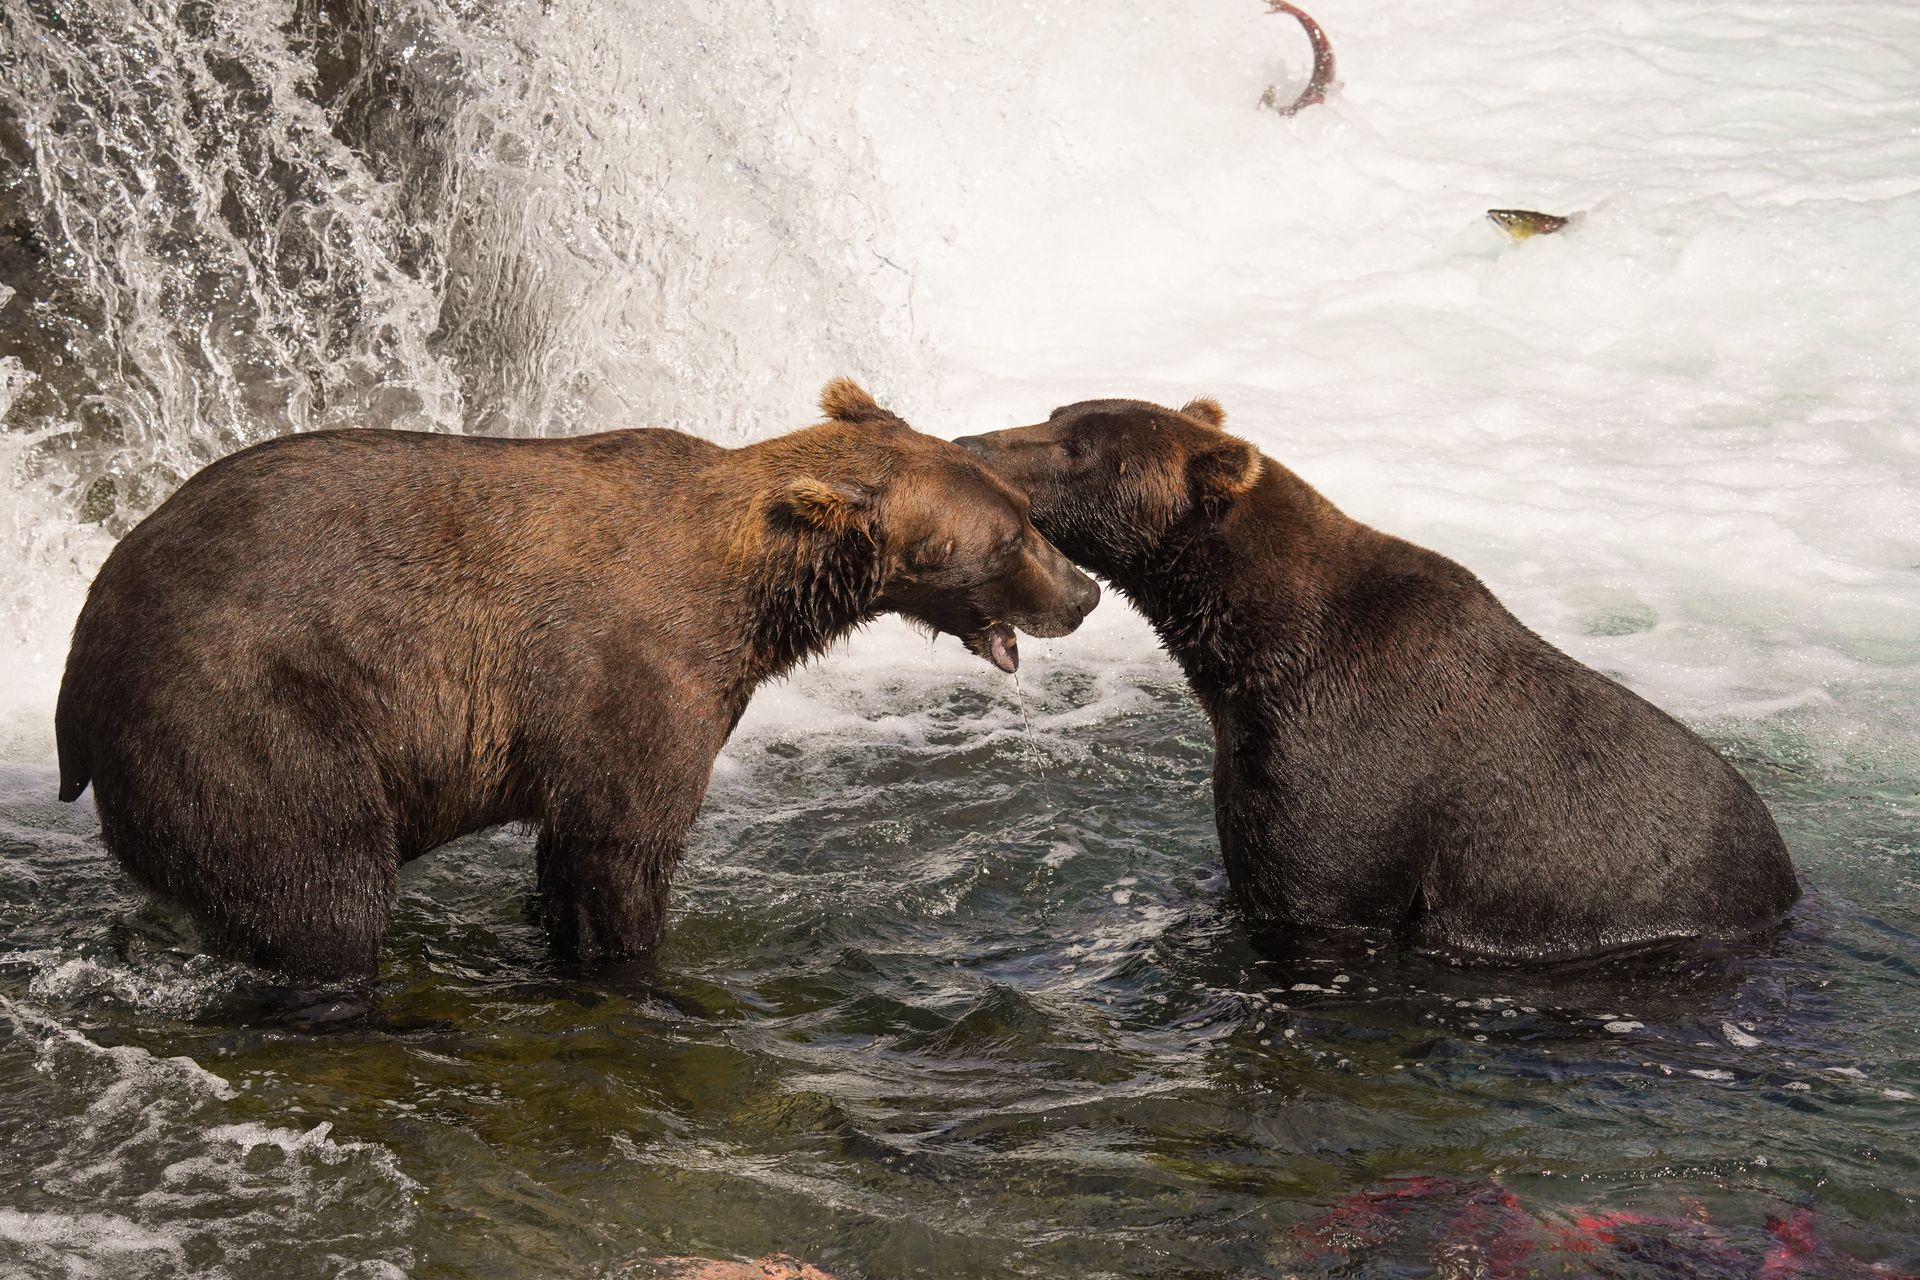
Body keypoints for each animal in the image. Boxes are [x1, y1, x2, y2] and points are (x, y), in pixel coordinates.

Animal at [56, 379, 1100, 981]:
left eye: (1023, 511)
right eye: (1011, 535)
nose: (1084, 592)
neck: (758, 599)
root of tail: (77, 665)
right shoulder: (635, 669)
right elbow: (616, 846)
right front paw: (628, 960)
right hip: (249, 711)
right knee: (319, 886)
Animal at [957, 398, 1799, 962]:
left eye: (1078, 446)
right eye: (1058, 413)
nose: (971, 441)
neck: (1249, 651)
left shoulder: (1353, 762)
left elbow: (1312, 884)